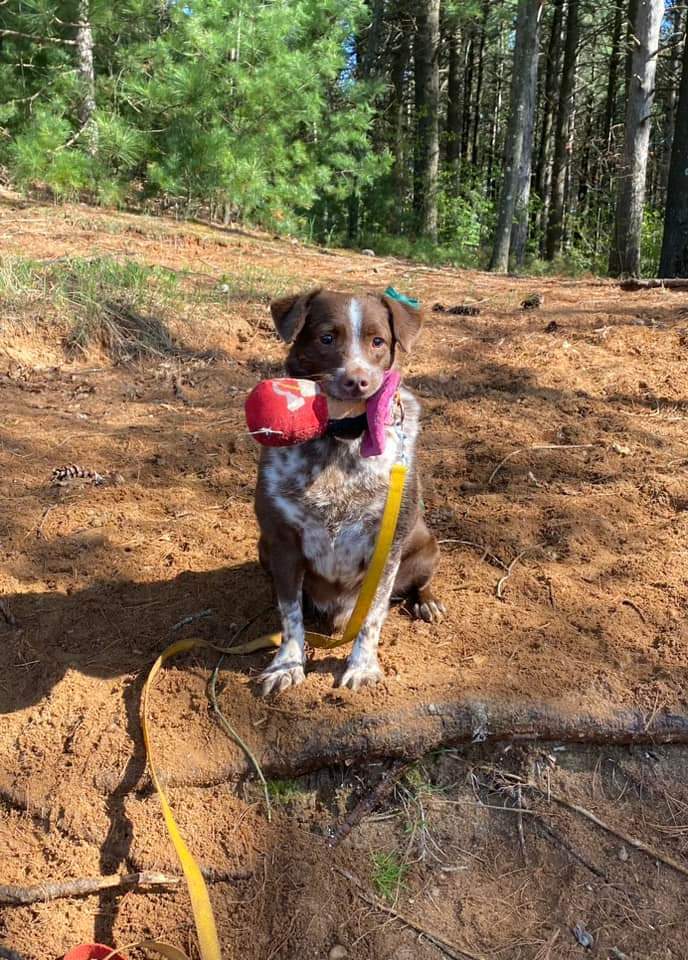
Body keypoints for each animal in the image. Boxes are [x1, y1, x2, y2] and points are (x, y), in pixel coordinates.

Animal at [255, 288, 444, 692]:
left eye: (378, 341)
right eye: (327, 338)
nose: (357, 380)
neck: (342, 437)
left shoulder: (385, 548)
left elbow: (372, 616)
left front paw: (362, 666)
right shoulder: (281, 541)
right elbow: (290, 614)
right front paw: (286, 665)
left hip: (426, 546)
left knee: (419, 582)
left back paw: (427, 602)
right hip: (262, 548)